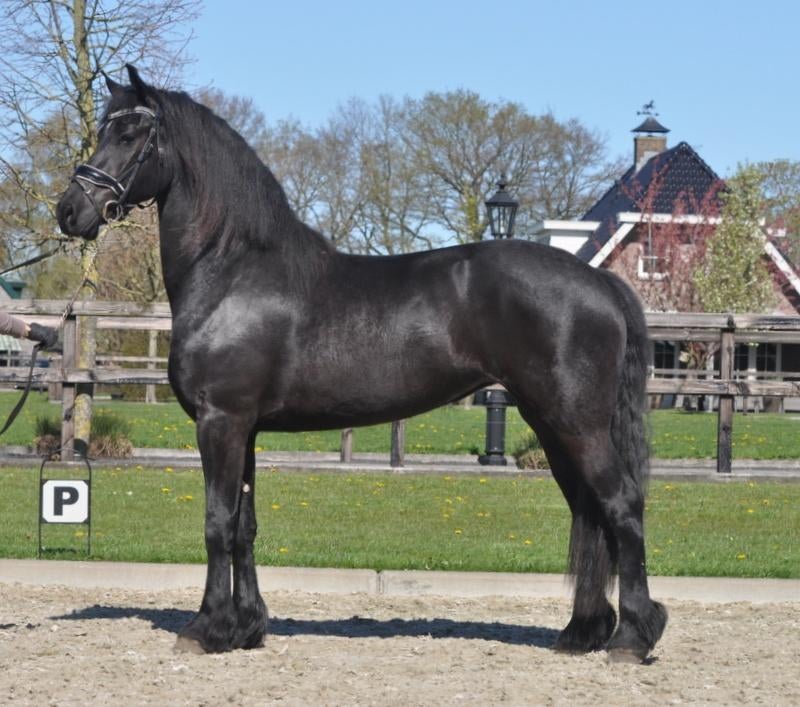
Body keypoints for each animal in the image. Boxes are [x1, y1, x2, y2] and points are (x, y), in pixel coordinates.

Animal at [56, 65, 667, 662]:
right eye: (104, 129)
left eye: (129, 135)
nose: (69, 210)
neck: (232, 271)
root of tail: (600, 281)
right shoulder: (244, 429)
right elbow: (244, 525)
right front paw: (245, 627)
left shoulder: (220, 422)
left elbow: (216, 523)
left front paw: (206, 628)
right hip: (551, 424)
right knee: (589, 510)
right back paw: (583, 632)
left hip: (576, 424)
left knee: (621, 504)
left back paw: (632, 637)